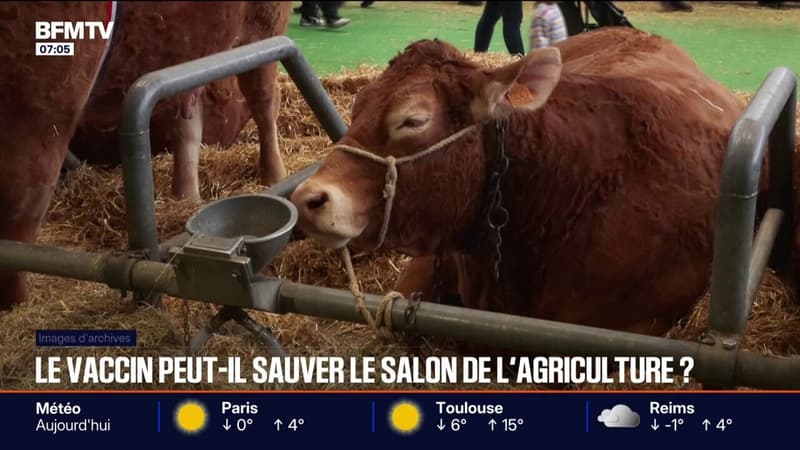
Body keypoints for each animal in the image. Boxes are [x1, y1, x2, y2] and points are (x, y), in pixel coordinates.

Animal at [0, 1, 289, 310]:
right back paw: (185, 196)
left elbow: (20, 212)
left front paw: (16, 306)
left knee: (264, 99)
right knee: (189, 117)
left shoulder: (42, 107)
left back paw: (274, 175)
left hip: (264, 24)